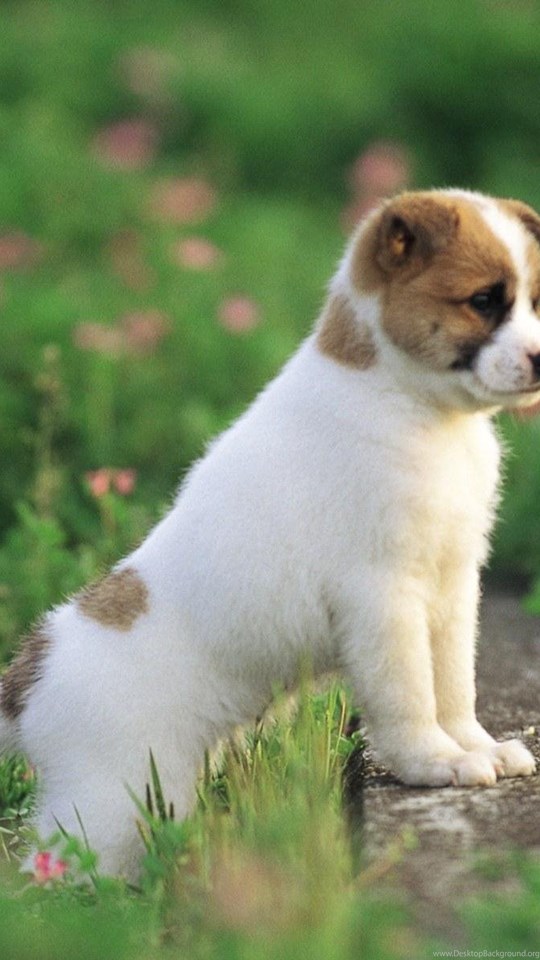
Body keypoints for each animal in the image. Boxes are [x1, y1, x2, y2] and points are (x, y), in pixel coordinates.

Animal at [1, 188, 539, 879]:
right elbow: (411, 696)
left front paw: (476, 748)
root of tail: (28, 678)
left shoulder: (451, 589)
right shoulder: (383, 599)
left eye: (532, 300)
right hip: (109, 808)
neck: (404, 399)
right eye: (484, 301)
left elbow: (453, 685)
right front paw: (434, 763)